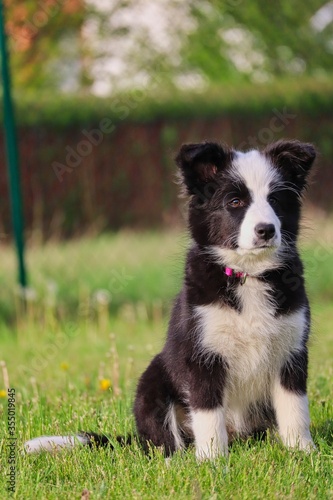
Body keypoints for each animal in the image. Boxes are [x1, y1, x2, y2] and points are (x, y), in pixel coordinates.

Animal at [24, 139, 316, 458]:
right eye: (235, 202)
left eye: (275, 200)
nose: (266, 230)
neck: (248, 274)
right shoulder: (201, 353)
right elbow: (208, 412)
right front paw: (213, 460)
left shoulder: (291, 351)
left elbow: (295, 408)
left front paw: (302, 451)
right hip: (152, 383)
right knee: (165, 442)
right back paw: (177, 459)